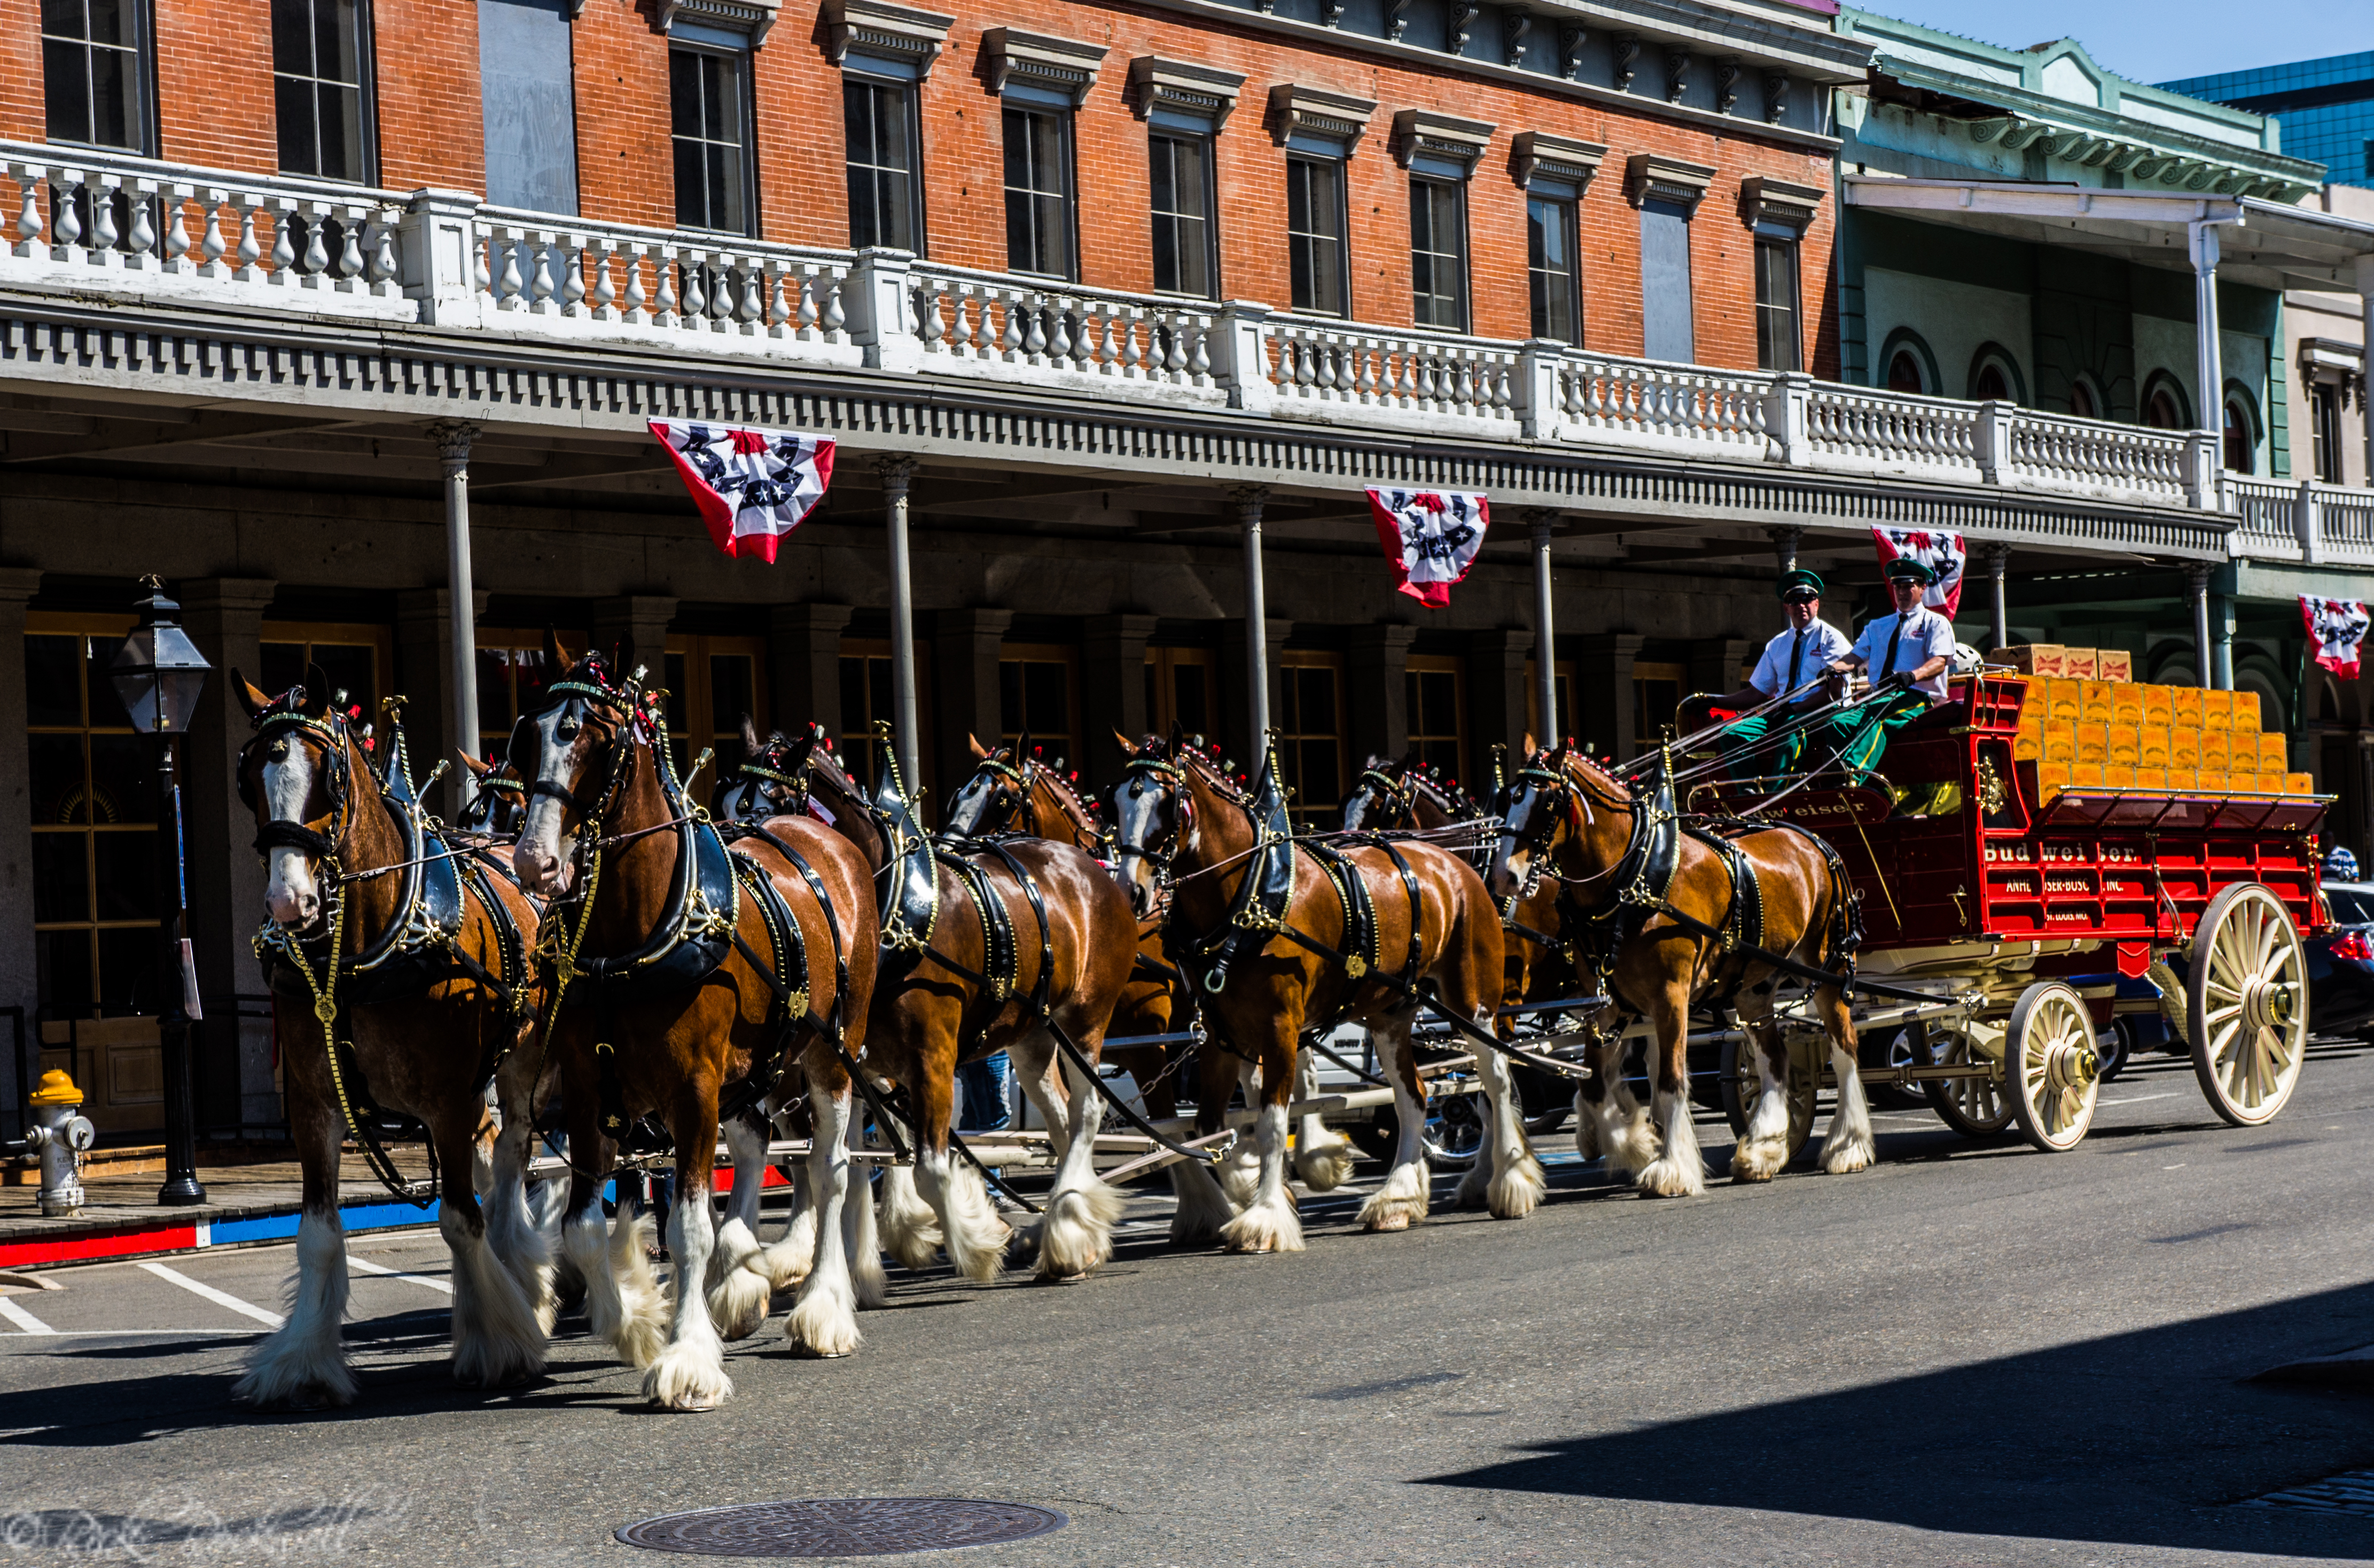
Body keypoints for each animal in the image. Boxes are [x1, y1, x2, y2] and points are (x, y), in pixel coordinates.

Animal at [230, 673, 546, 1404]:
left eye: (329, 779)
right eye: (250, 779)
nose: (288, 903)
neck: (359, 955)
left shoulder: (451, 1097)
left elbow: (460, 1218)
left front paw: (498, 1342)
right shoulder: (313, 1104)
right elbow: (318, 1234)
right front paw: (303, 1361)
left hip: (522, 1059)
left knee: (511, 1161)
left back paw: (525, 1277)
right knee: (495, 1158)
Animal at [512, 640, 883, 1404]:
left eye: (589, 736)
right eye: (527, 733)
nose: (534, 859)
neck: (634, 930)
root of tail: (827, 841)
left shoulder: (692, 1090)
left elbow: (687, 1227)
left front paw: (687, 1358)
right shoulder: (591, 1092)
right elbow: (583, 1226)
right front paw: (638, 1325)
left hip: (831, 1051)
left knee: (830, 1168)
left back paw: (823, 1305)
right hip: (752, 1067)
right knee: (755, 1147)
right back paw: (746, 1278)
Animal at [1106, 735, 1528, 1243]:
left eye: (1166, 803)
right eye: (1115, 800)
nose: (1130, 892)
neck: (1251, 898)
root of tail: (1456, 864)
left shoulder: (1280, 1028)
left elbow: (1270, 1122)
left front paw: (1266, 1216)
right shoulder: (1220, 1037)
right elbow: (1212, 1125)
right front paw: (1240, 1193)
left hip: (1472, 1002)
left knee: (1496, 1080)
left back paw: (1507, 1181)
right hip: (1390, 1014)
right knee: (1414, 1097)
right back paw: (1397, 1200)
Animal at [1481, 744, 1870, 1186]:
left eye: (1547, 801)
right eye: (1507, 800)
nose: (1503, 878)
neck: (1636, 878)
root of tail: (1813, 841)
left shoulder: (1671, 996)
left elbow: (1669, 1079)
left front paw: (1670, 1167)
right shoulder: (1607, 1007)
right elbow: (1595, 1087)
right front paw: (1636, 1146)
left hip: (1826, 968)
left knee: (1845, 1047)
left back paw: (1848, 1146)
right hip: (1753, 987)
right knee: (1775, 1059)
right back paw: (1762, 1151)